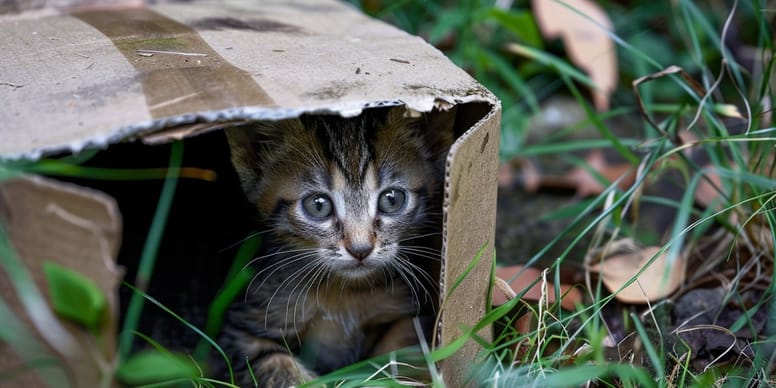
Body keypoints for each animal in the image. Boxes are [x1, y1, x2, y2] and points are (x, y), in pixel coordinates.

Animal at [218, 106, 454, 388]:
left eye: (392, 199)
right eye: (318, 205)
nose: (360, 248)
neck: (343, 293)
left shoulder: (408, 314)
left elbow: (403, 350)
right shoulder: (241, 329)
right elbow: (273, 362)